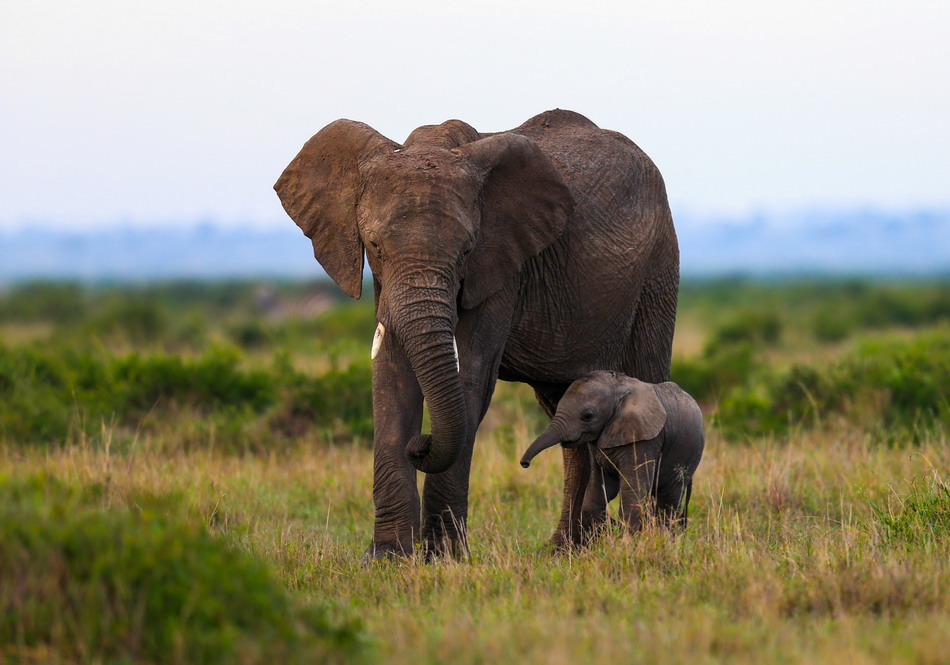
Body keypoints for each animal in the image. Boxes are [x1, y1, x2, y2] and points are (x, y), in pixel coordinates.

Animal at [276, 111, 684, 556]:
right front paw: (388, 558)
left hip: (658, 267)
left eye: (467, 250)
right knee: (569, 411)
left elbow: (470, 375)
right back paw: (567, 550)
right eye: (374, 245)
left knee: (645, 382)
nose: (421, 443)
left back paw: (641, 541)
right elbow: (391, 375)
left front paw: (443, 556)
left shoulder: (501, 266)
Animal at [520, 370, 708, 548]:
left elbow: (632, 491)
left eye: (588, 416)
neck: (619, 391)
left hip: (688, 454)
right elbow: (600, 489)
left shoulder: (644, 439)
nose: (524, 464)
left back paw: (664, 539)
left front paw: (625, 544)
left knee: (669, 498)